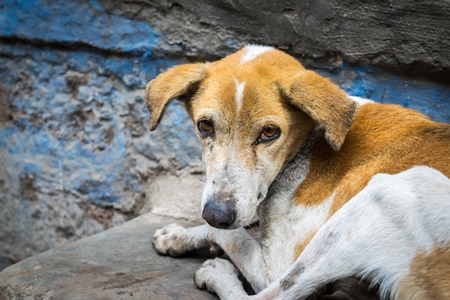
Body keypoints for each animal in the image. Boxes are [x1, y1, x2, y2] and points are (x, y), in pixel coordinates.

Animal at [146, 45, 448, 298]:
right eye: (205, 125)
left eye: (269, 132)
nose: (216, 215)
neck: (311, 140)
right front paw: (178, 235)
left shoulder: (277, 264)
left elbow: (233, 236)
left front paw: (190, 237)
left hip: (388, 195)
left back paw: (217, 275)